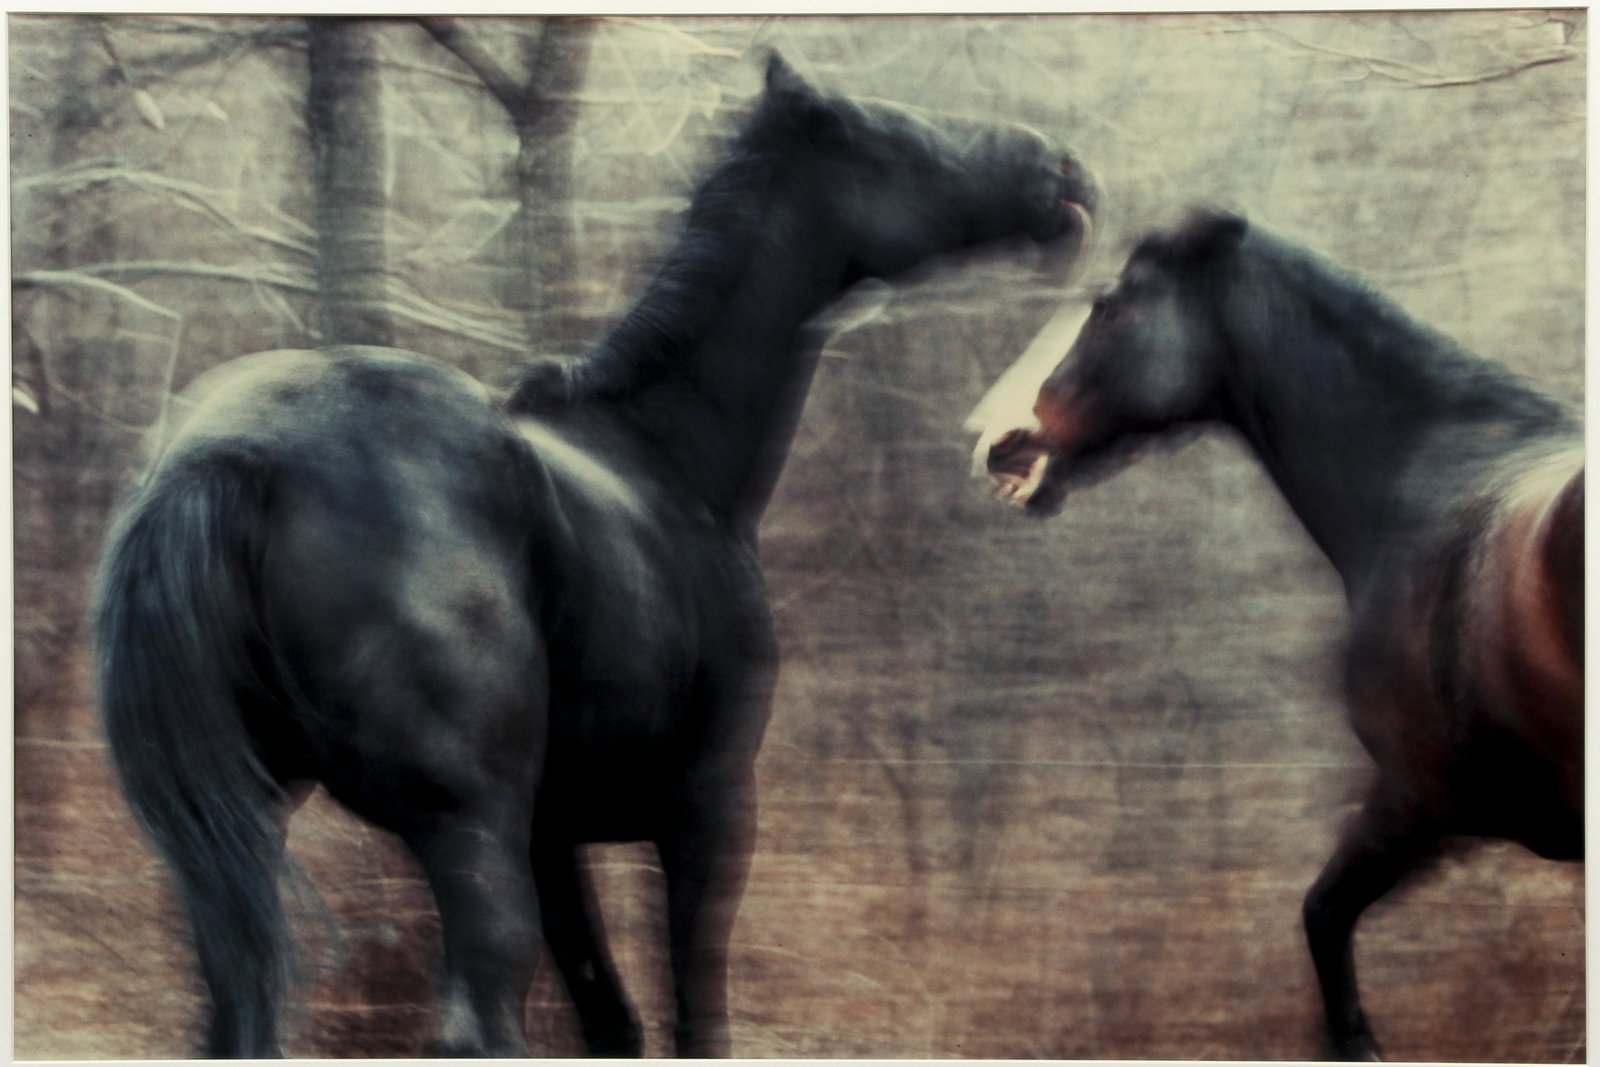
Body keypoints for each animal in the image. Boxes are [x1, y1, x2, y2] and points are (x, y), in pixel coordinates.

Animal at [92, 51, 1096, 1059]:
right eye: (901, 134)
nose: (1062, 173)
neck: (667, 458)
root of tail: (229, 458)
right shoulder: (706, 809)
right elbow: (694, 1013)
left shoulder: (554, 835)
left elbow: (612, 1017)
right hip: (468, 829)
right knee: (479, 1012)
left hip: (248, 831)